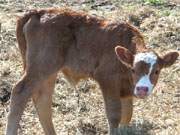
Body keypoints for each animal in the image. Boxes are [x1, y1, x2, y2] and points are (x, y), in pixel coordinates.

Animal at [5, 8, 179, 135]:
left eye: (156, 71)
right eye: (133, 69)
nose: (142, 89)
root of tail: (37, 12)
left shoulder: (126, 90)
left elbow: (127, 115)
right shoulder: (107, 80)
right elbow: (114, 115)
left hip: (48, 70)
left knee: (42, 98)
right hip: (41, 65)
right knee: (20, 92)